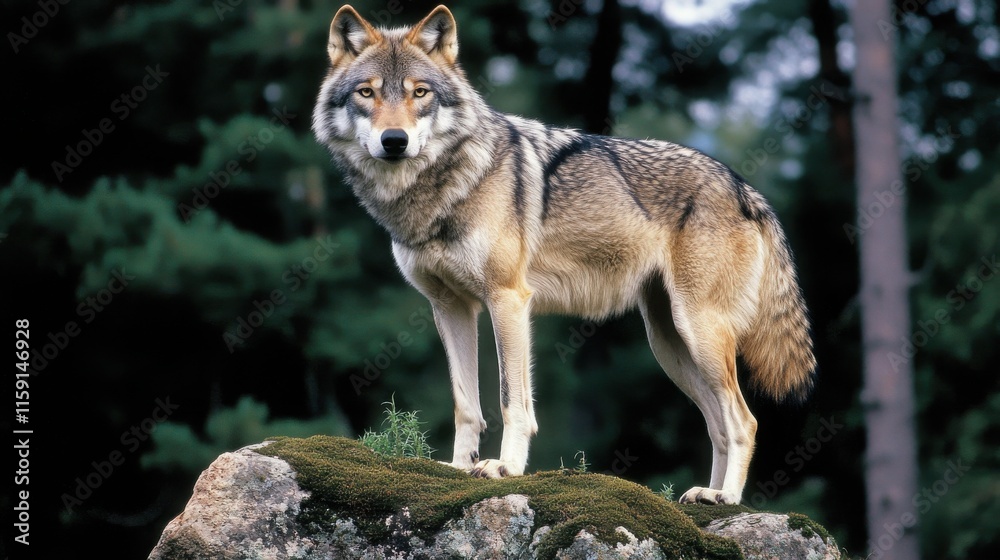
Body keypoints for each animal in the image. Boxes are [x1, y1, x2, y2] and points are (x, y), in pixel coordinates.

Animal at [312, 5, 816, 505]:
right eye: (366, 93)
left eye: (420, 93)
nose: (394, 140)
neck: (441, 190)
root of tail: (745, 188)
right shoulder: (450, 307)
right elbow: (465, 404)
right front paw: (457, 469)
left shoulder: (508, 299)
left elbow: (511, 400)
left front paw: (505, 468)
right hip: (670, 344)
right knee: (717, 424)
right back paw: (703, 497)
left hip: (699, 333)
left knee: (744, 420)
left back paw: (725, 498)